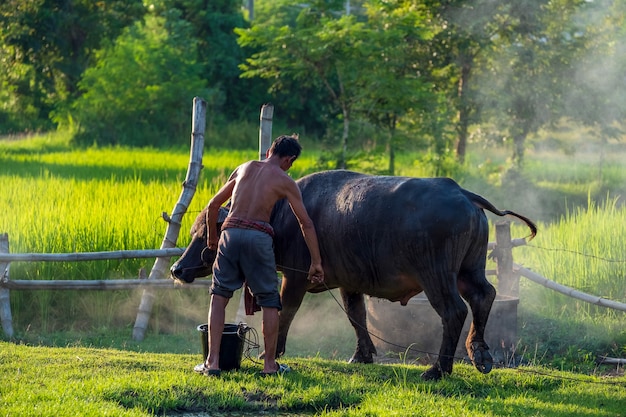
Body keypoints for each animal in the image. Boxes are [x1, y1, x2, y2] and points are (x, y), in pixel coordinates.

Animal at [171, 169, 536, 380]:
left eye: (200, 232)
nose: (177, 269)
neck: (280, 212)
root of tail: (463, 193)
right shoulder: (350, 281)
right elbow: (356, 316)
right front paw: (362, 355)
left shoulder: (295, 277)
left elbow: (286, 311)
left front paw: (271, 353)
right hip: (469, 268)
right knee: (484, 295)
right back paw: (480, 354)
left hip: (437, 274)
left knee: (454, 310)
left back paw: (438, 368)